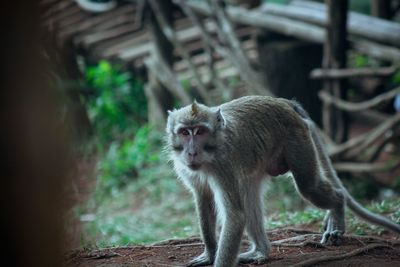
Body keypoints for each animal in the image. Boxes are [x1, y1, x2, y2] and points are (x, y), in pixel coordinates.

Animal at [165, 96, 400, 267]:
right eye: (185, 132)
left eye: (200, 132)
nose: (191, 152)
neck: (211, 154)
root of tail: (283, 102)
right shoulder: (189, 170)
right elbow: (204, 199)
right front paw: (209, 254)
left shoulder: (224, 166)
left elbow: (235, 216)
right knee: (250, 194)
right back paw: (260, 251)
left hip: (297, 138)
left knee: (309, 186)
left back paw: (337, 211)